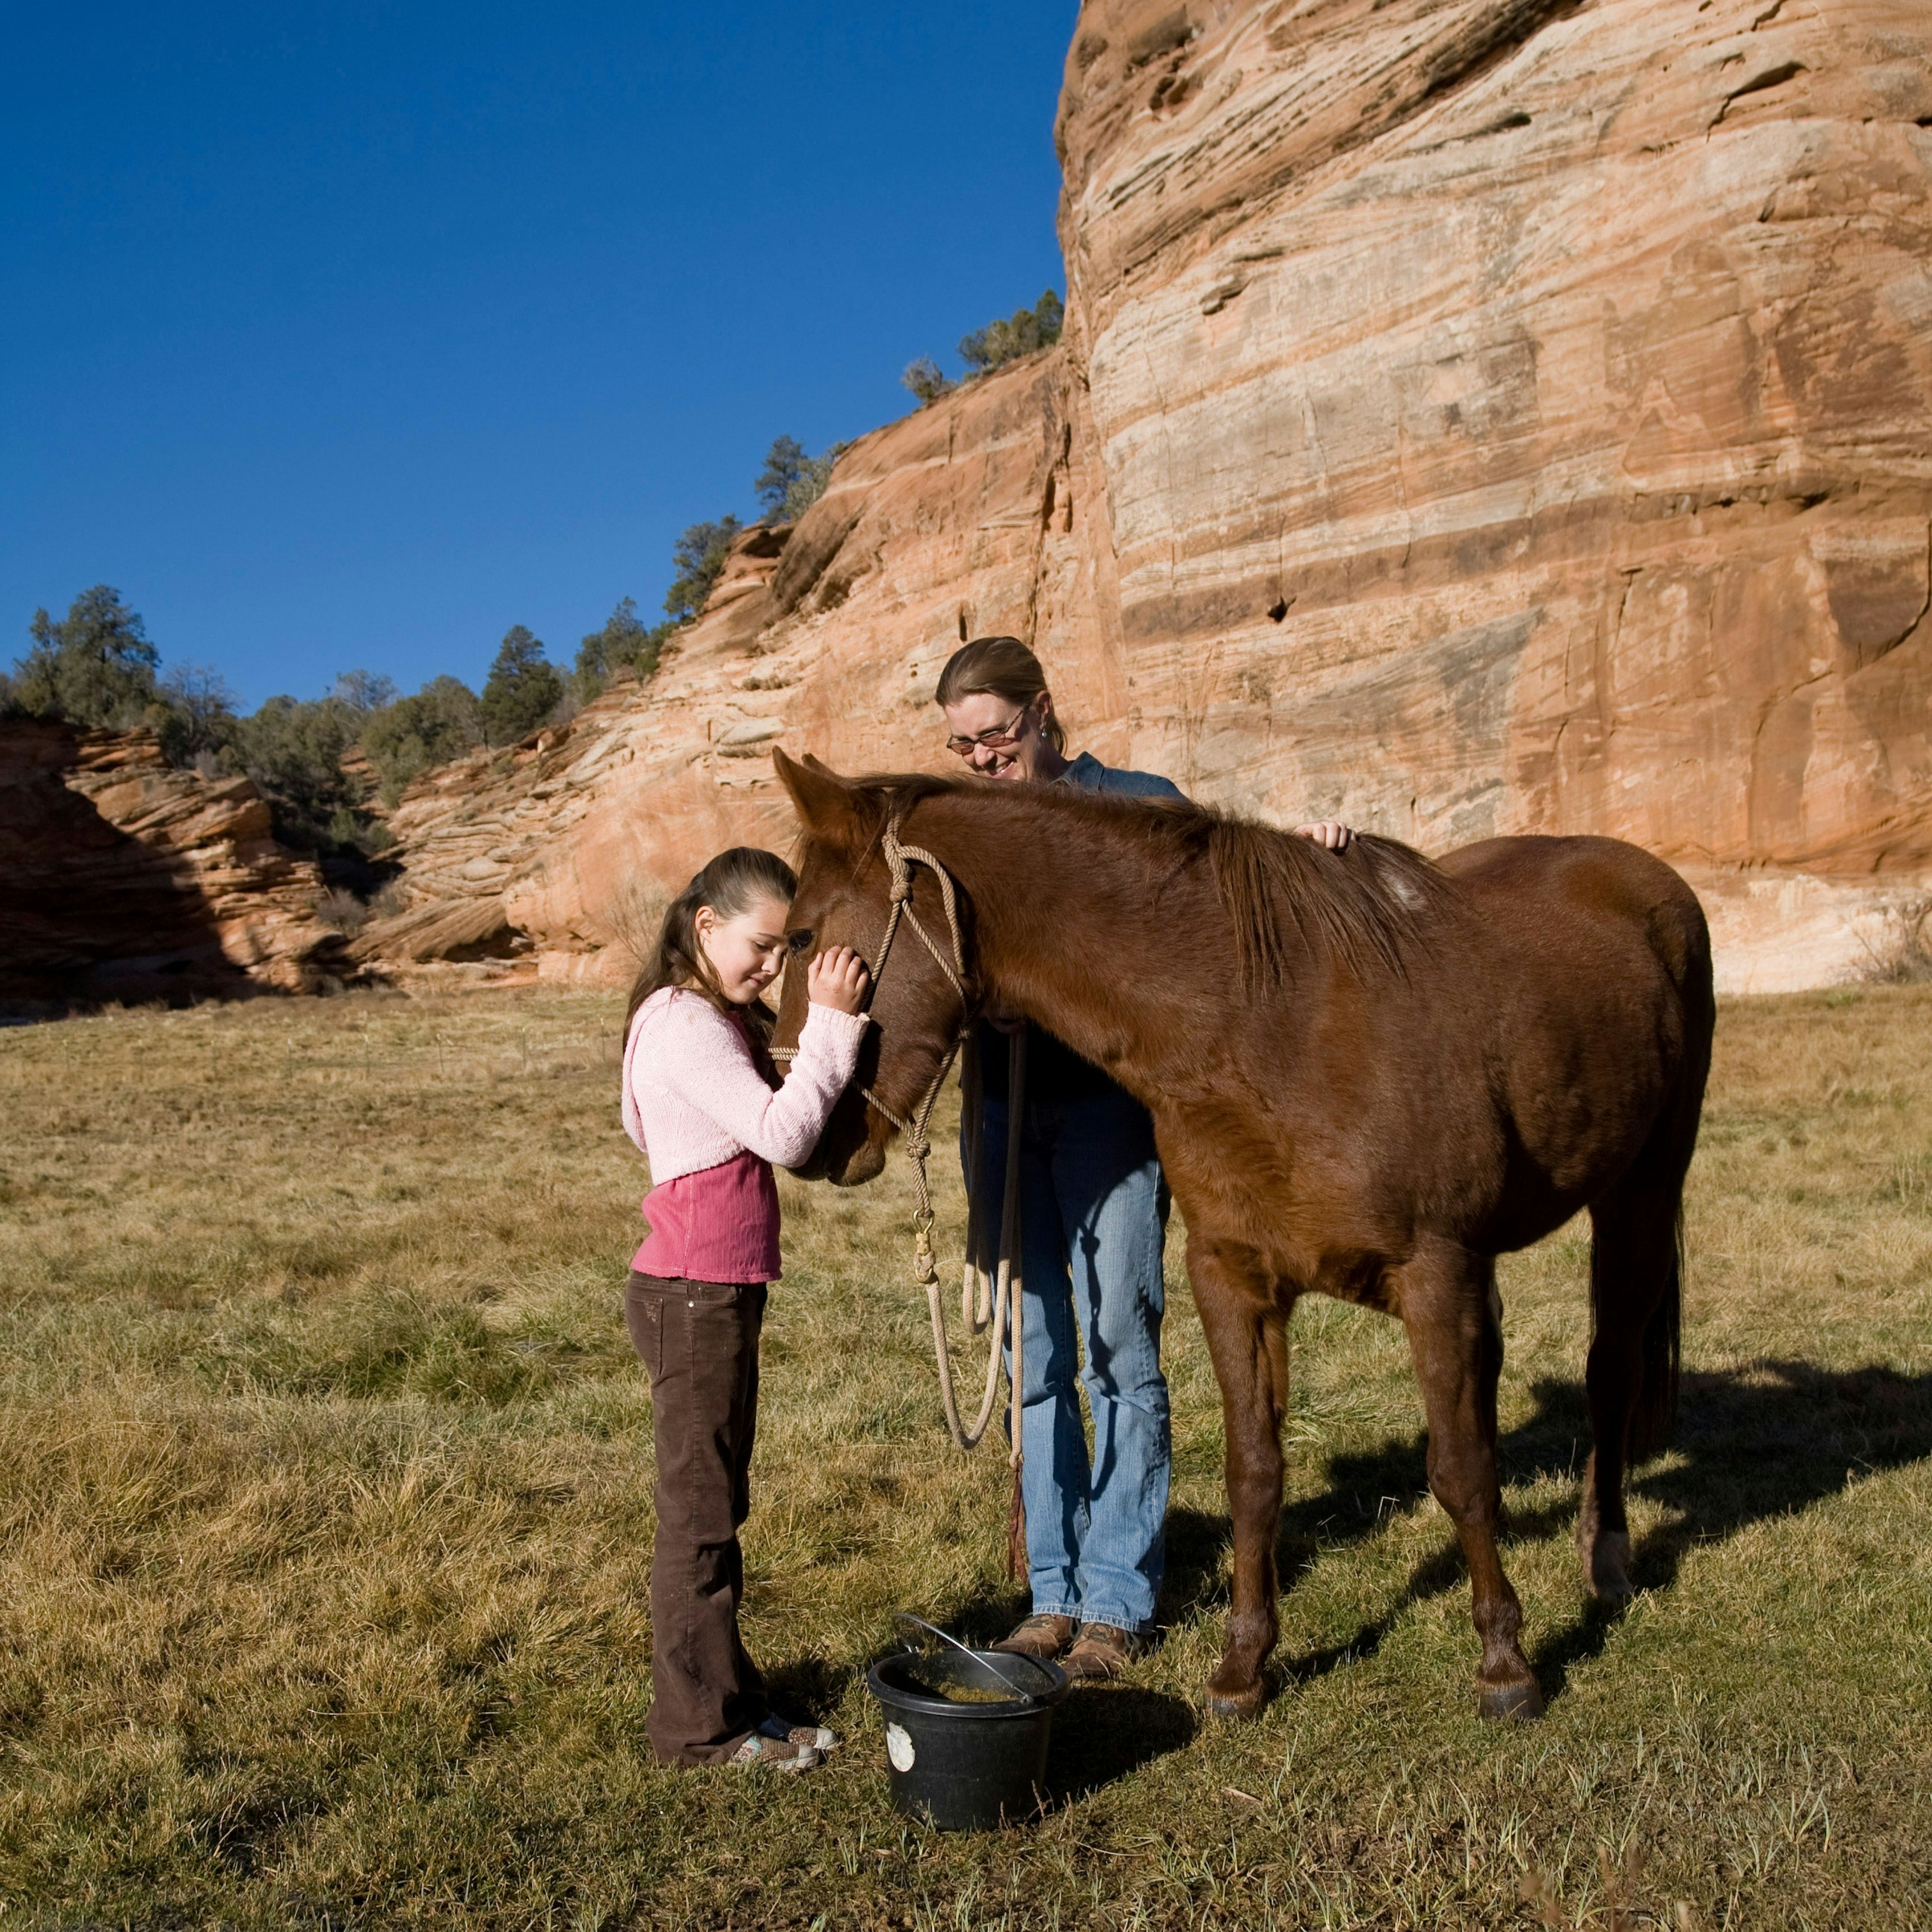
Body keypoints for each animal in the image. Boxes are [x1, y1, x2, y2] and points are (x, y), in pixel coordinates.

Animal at [761, 749, 1715, 1723]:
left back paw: (1606, 1560)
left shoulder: (1436, 1275)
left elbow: (1461, 1470)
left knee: (1610, 1373)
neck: (1269, 1019)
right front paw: (1242, 1668)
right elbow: (1255, 1471)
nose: (811, 1135)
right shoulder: (1233, 1281)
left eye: (799, 938)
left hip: (1639, 1196)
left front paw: (1505, 1665)